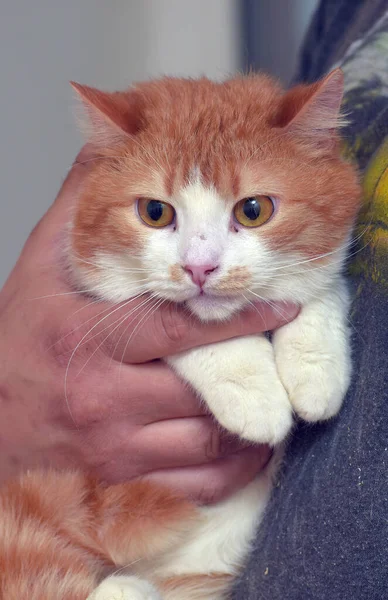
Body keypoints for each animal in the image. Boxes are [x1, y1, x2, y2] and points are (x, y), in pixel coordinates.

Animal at [0, 68, 360, 596]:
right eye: (155, 212)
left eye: (253, 209)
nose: (199, 268)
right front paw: (252, 390)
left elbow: (318, 284)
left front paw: (316, 366)